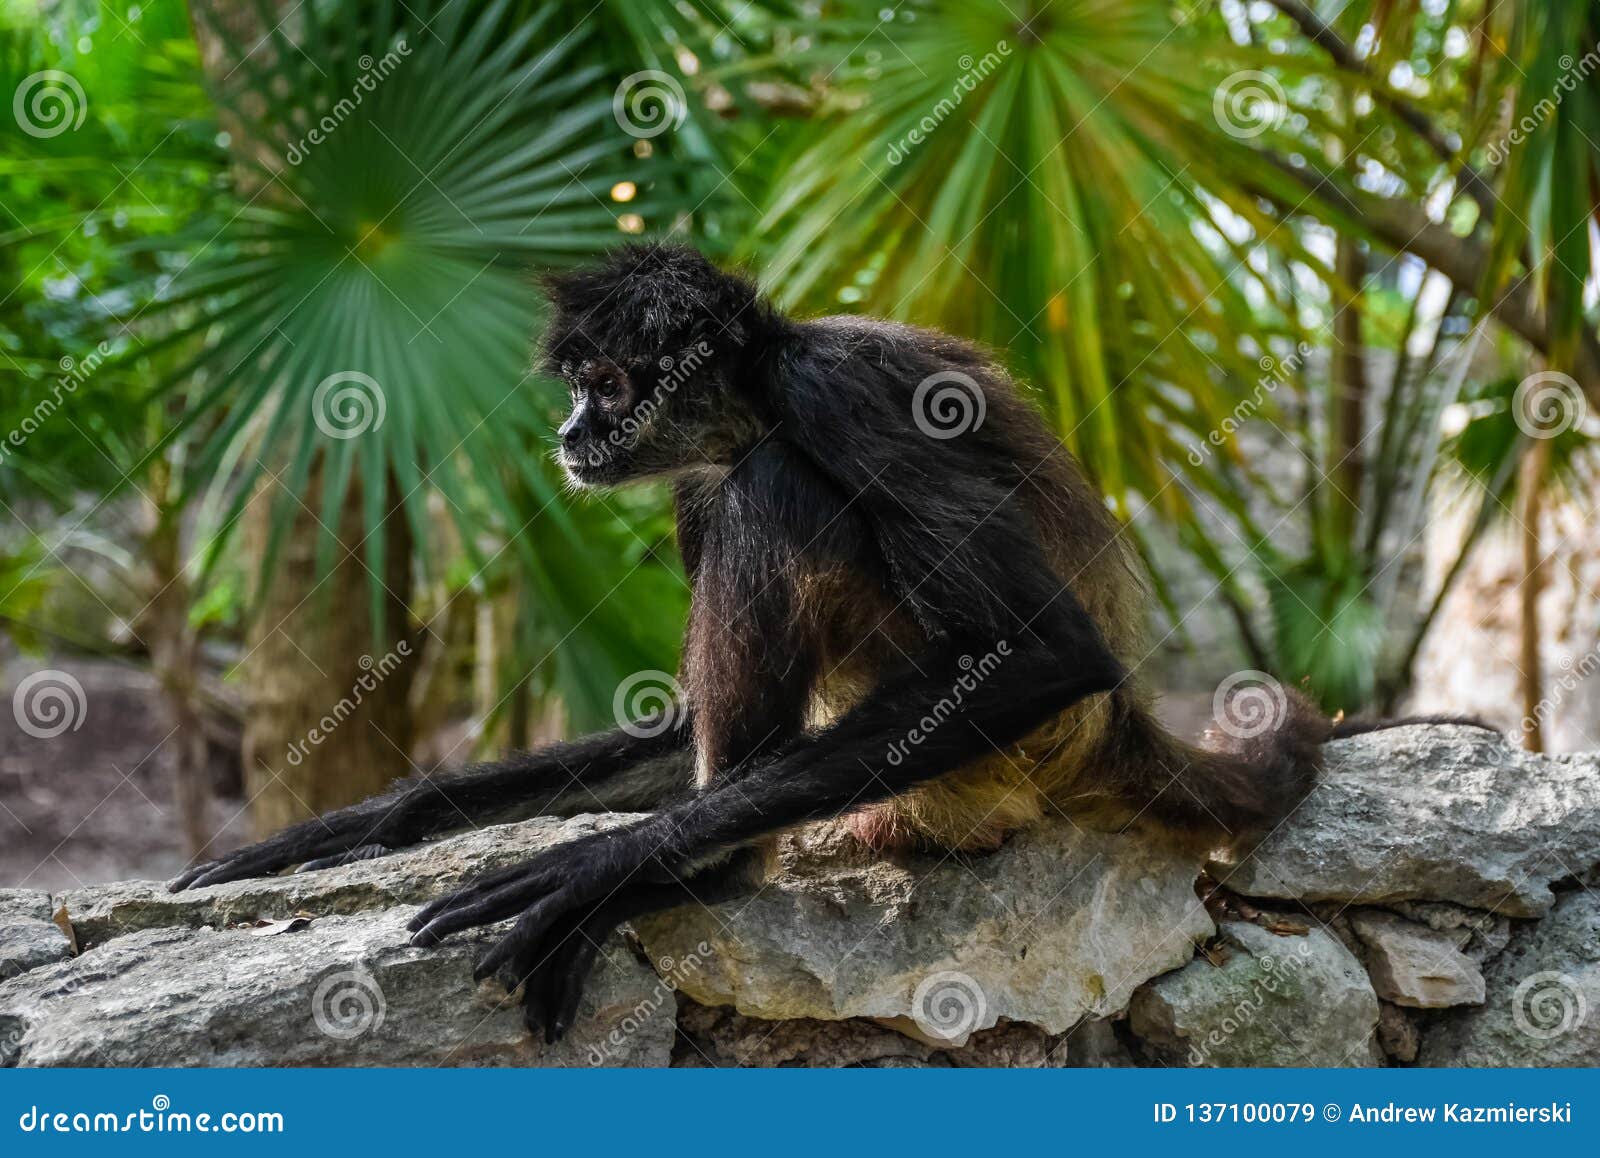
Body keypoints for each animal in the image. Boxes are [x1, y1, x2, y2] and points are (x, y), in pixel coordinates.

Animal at [170, 241, 1471, 1043]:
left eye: (608, 383)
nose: (570, 433)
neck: (757, 392)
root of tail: (1117, 734)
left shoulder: (838, 392)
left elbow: (1042, 648)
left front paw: (600, 867)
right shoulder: (689, 477)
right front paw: (349, 828)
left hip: (1017, 744)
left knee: (778, 489)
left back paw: (708, 867)